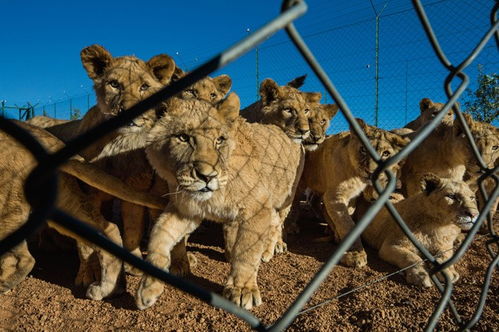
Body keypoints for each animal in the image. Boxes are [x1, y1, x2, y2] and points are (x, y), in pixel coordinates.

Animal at [135, 92, 302, 310]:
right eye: (183, 138)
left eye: (219, 140)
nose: (207, 177)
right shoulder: (186, 209)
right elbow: (158, 237)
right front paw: (148, 287)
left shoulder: (258, 208)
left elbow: (247, 252)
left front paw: (243, 289)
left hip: (285, 198)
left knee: (277, 224)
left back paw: (268, 250)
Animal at [300, 120, 410, 268]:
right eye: (363, 149)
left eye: (386, 153)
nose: (370, 172)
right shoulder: (334, 196)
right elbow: (347, 224)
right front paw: (355, 254)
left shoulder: (351, 197)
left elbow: (348, 215)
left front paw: (336, 233)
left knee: (314, 201)